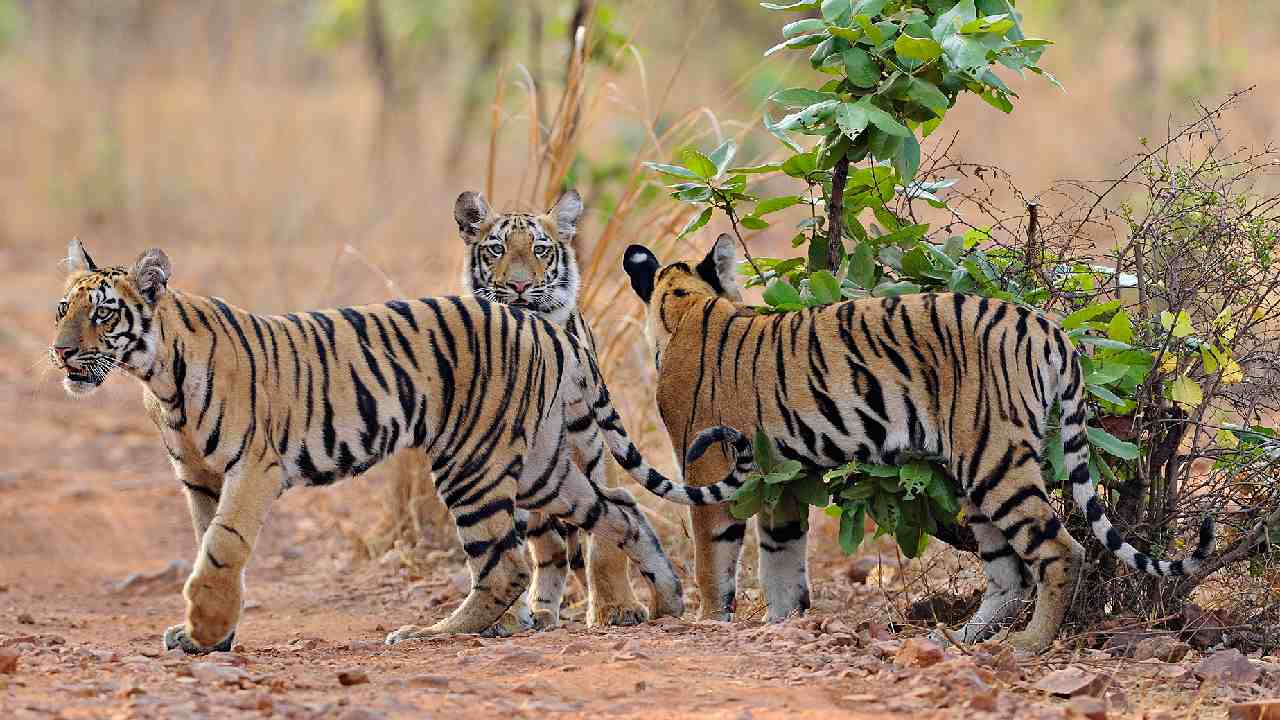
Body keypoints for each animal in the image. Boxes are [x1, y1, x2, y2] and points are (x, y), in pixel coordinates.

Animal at [49, 239, 747, 650]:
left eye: (104, 312)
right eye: (63, 309)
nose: (59, 351)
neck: (157, 376)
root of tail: (550, 328)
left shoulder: (253, 466)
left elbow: (222, 547)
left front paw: (203, 631)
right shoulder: (198, 476)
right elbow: (206, 544)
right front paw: (209, 633)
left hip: (473, 464)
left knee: (507, 564)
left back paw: (432, 633)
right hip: (541, 464)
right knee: (620, 506)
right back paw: (666, 600)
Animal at [450, 188, 650, 625]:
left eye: (540, 249)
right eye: (496, 248)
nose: (520, 285)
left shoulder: (592, 444)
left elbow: (605, 541)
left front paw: (617, 608)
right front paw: (503, 618)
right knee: (549, 547)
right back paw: (535, 612)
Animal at [624, 233, 1213, 648]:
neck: (686, 308)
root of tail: (1049, 328)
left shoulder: (708, 468)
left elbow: (713, 559)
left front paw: (710, 621)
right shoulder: (779, 481)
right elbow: (782, 559)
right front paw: (782, 623)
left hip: (995, 459)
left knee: (1059, 550)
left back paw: (1029, 644)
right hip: (977, 473)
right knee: (1008, 575)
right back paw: (957, 638)